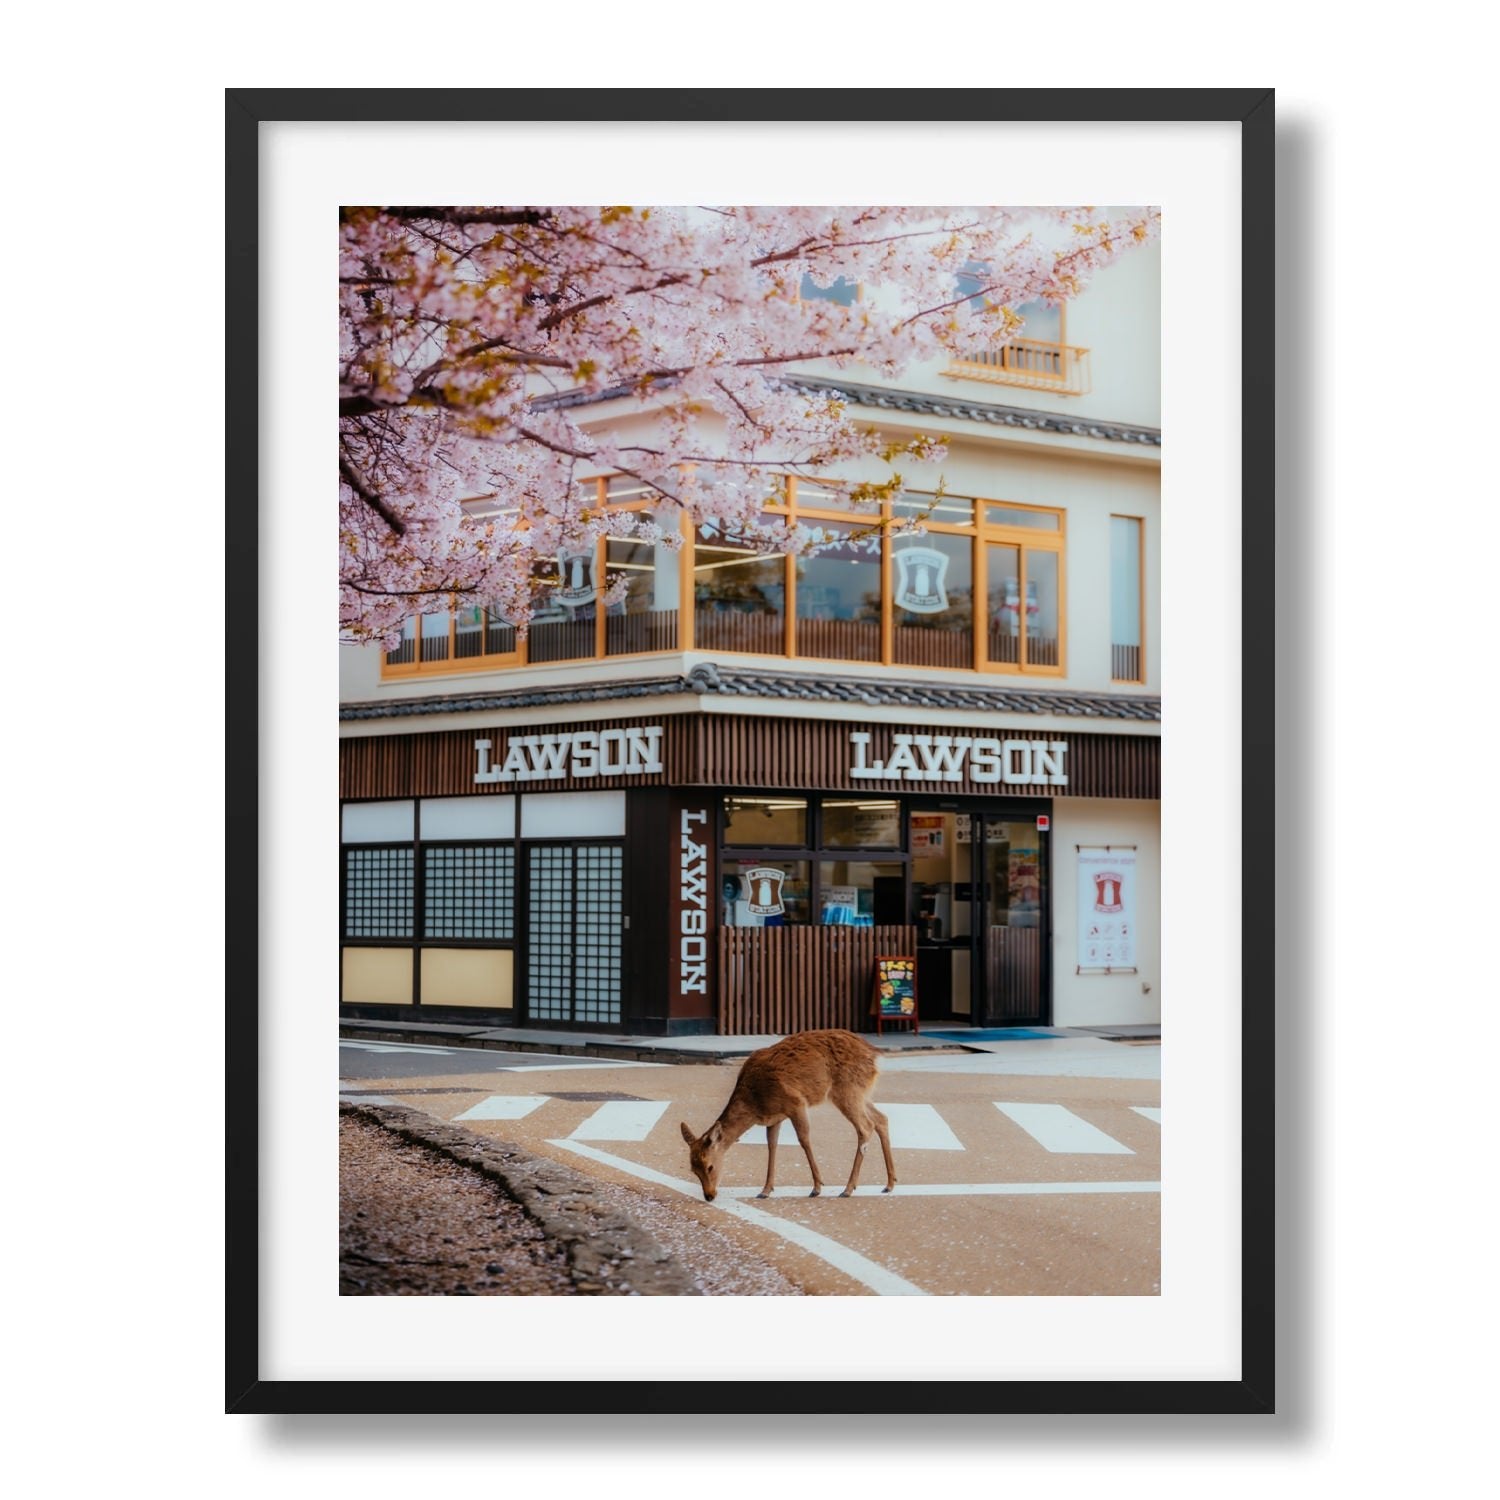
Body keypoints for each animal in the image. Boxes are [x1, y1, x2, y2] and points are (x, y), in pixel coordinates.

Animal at [678, 1026, 888, 1200]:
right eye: (693, 1170)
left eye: (710, 1166)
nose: (709, 1195)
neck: (754, 1105)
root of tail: (873, 1053)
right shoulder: (774, 1118)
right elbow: (772, 1146)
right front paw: (765, 1190)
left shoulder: (796, 1103)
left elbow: (804, 1140)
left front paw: (817, 1187)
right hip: (861, 1093)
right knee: (881, 1119)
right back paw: (889, 1184)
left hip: (847, 1090)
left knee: (866, 1126)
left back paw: (848, 1188)